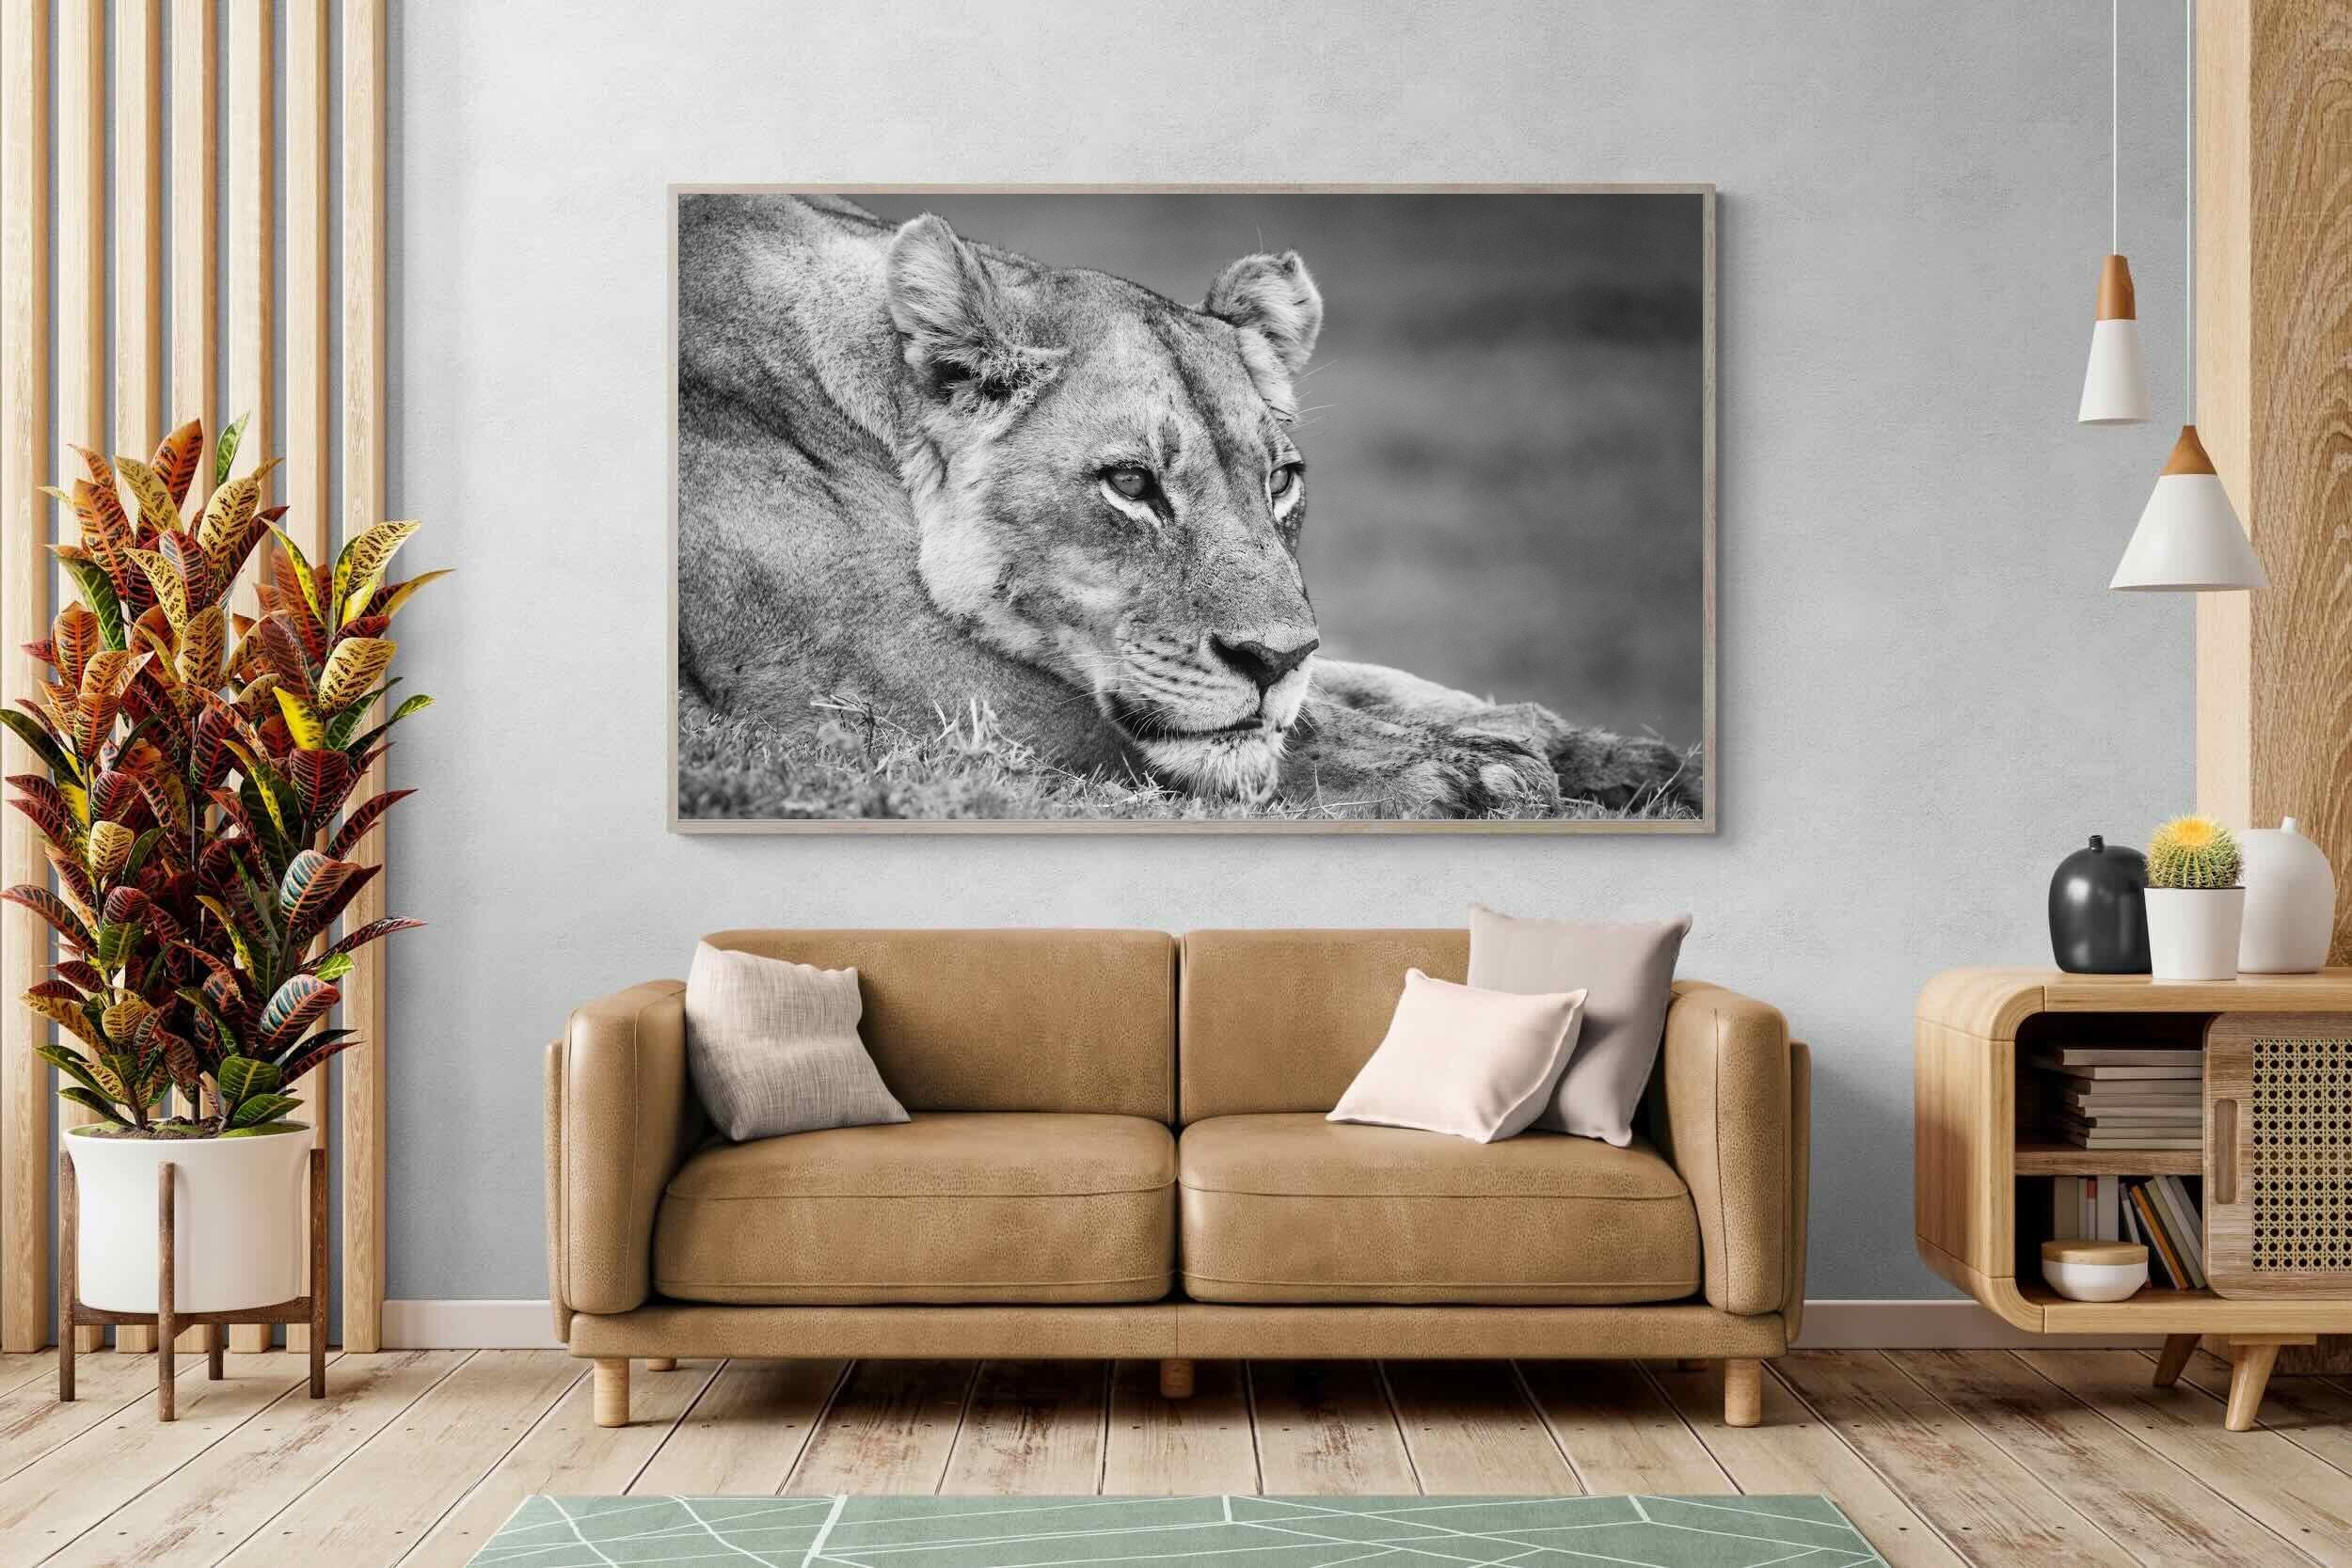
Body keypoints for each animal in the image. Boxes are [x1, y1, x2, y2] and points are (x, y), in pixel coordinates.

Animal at [676, 193, 1699, 819]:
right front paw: (1474, 774)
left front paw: (1632, 761)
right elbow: (1263, 733)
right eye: (1131, 484)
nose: (1271, 661)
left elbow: (1368, 687)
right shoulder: (863, 680)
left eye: (1279, 480)